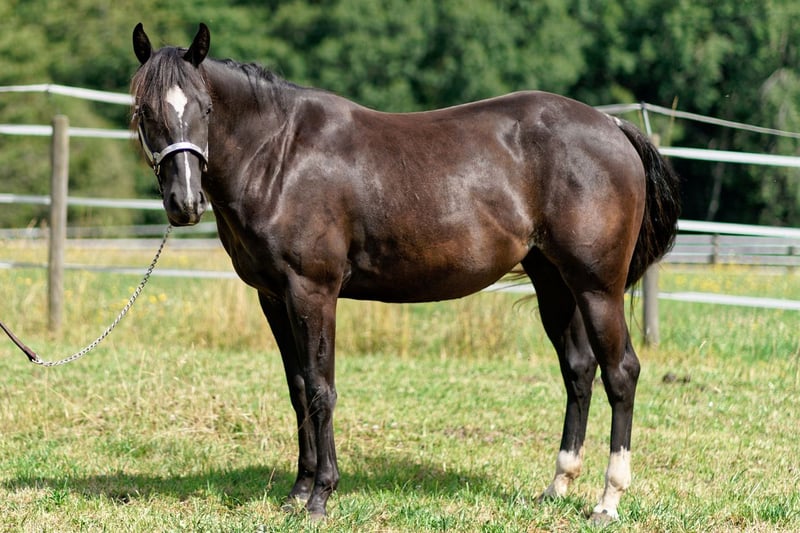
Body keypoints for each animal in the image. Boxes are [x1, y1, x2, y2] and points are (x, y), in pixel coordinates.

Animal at [131, 23, 680, 522]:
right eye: (144, 112)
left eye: (204, 109)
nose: (185, 203)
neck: (280, 155)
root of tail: (613, 128)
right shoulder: (273, 297)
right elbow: (297, 388)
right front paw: (296, 492)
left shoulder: (312, 292)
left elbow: (321, 388)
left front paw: (320, 496)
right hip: (554, 282)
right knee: (579, 370)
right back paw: (558, 485)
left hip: (597, 286)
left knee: (620, 373)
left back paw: (608, 500)